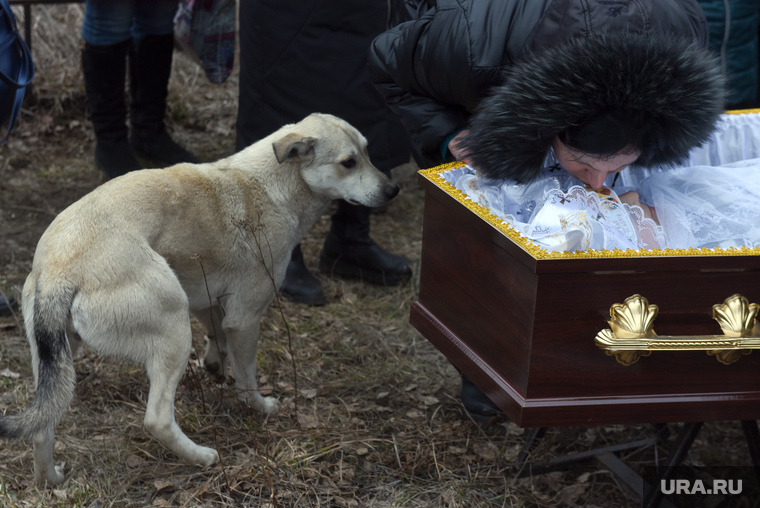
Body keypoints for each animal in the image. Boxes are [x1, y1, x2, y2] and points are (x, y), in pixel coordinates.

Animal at [0, 114, 400, 484]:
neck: (273, 187)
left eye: (368, 152)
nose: (393, 190)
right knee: (157, 420)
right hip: (174, 332)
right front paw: (260, 406)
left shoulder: (208, 299)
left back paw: (50, 479)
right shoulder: (245, 318)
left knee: (43, 427)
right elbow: (247, 378)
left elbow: (217, 336)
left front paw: (214, 364)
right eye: (349, 162)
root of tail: (59, 267)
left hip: (58, 362)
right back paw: (202, 457)